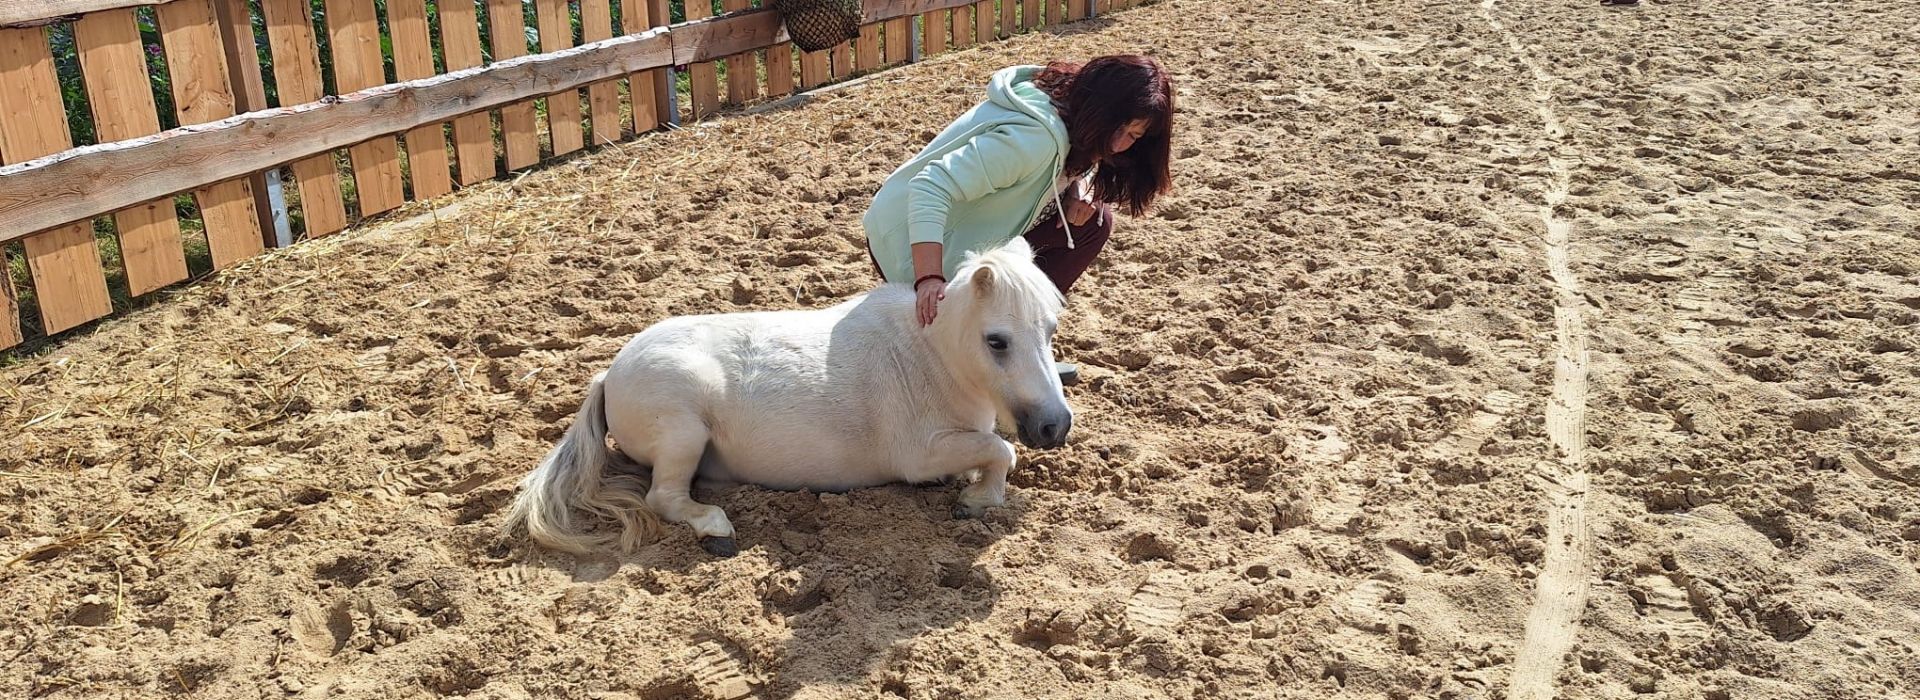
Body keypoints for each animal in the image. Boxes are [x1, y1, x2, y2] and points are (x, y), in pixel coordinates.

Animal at [503, 238, 1073, 556]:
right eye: (997, 340)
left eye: (1050, 329)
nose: (1055, 425)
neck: (930, 357)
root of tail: (608, 374)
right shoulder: (919, 455)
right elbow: (1002, 450)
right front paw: (978, 501)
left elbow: (996, 450)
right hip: (683, 434)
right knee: (662, 498)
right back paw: (715, 526)